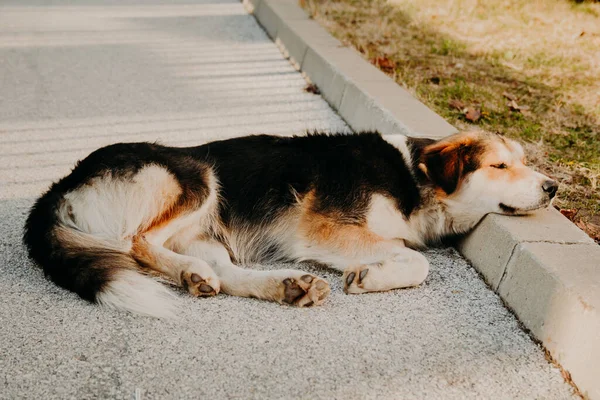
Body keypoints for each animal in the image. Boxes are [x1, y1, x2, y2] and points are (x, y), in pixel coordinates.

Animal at [22, 130, 556, 318]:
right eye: (501, 166)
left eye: (526, 161)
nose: (553, 187)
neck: (413, 173)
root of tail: (60, 185)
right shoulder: (326, 231)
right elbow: (415, 260)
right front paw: (372, 276)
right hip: (196, 177)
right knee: (135, 241)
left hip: (208, 232)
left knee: (225, 274)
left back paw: (277, 286)